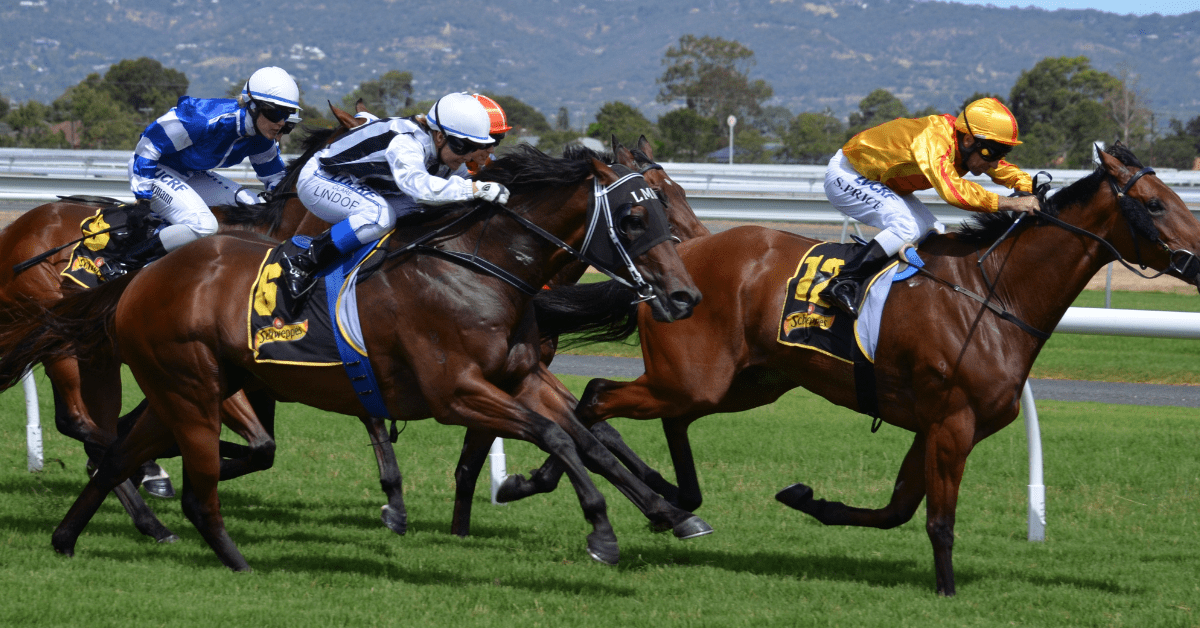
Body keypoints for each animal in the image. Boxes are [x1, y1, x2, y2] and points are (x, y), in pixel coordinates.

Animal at [0, 144, 709, 570]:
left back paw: (91, 531)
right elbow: (557, 437)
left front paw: (668, 511)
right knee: (98, 431)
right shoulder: (455, 392)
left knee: (118, 444)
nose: (685, 295)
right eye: (635, 217)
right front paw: (602, 530)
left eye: (671, 199)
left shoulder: (522, 375)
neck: (480, 268)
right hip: (145, 372)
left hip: (165, 378)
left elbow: (588, 435)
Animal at [486, 144, 1200, 595]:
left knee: (666, 417)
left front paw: (808, 499)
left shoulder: (932, 424)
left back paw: (673, 503)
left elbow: (896, 511)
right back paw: (552, 485)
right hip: (691, 374)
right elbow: (938, 520)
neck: (992, 295)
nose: (1196, 258)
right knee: (595, 398)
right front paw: (946, 592)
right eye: (1156, 205)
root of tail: (669, 268)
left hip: (742, 383)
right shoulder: (954, 422)